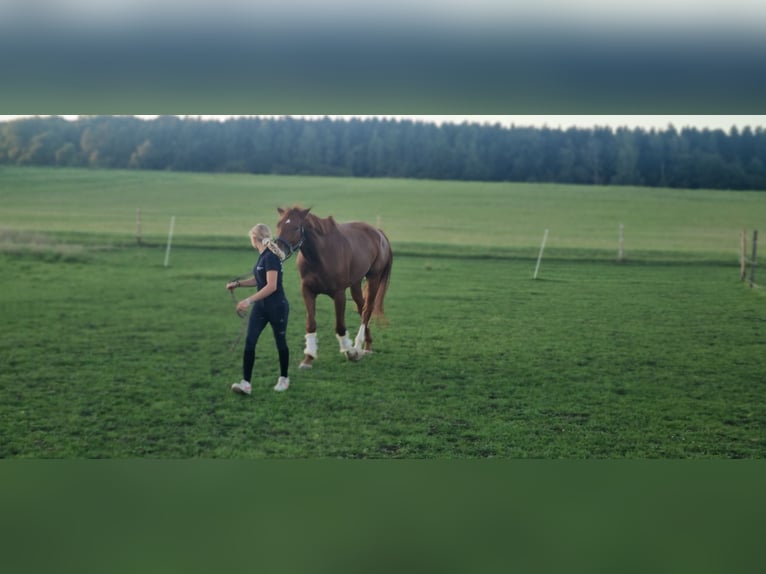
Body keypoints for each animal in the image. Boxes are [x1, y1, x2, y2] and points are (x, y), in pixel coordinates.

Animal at [274, 206, 393, 369]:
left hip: (373, 278)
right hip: (356, 284)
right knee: (361, 307)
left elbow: (340, 326)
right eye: (278, 225)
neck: (320, 255)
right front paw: (308, 358)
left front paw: (350, 351)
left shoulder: (339, 294)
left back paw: (358, 347)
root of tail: (379, 232)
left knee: (367, 310)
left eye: (296, 227)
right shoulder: (307, 291)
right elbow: (311, 324)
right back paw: (367, 345)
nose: (277, 250)